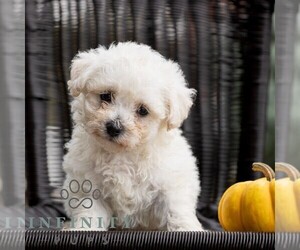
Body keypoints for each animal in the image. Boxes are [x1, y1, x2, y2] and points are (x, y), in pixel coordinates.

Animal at [63, 42, 204, 231]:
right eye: (105, 96)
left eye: (143, 110)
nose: (114, 127)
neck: (124, 154)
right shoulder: (88, 186)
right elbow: (90, 212)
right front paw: (83, 230)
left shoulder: (170, 184)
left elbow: (176, 210)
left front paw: (187, 229)